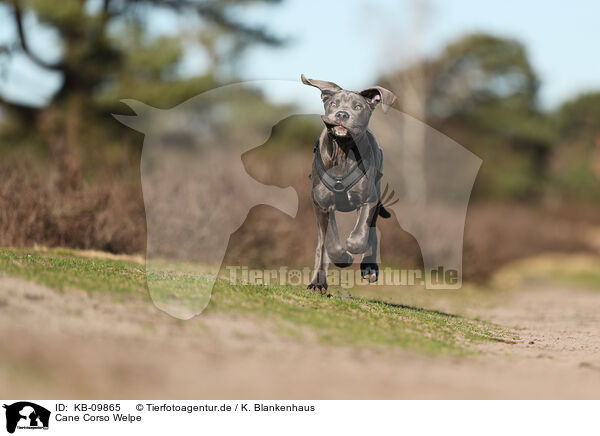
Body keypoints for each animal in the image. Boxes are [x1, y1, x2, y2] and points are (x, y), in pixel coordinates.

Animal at [302, 74, 396, 292]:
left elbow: (361, 235)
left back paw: (369, 268)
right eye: (333, 104)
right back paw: (317, 282)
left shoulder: (368, 200)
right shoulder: (323, 205)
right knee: (321, 246)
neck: (343, 153)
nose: (342, 114)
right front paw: (342, 257)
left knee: (372, 234)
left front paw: (353, 248)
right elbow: (329, 243)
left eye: (358, 107)